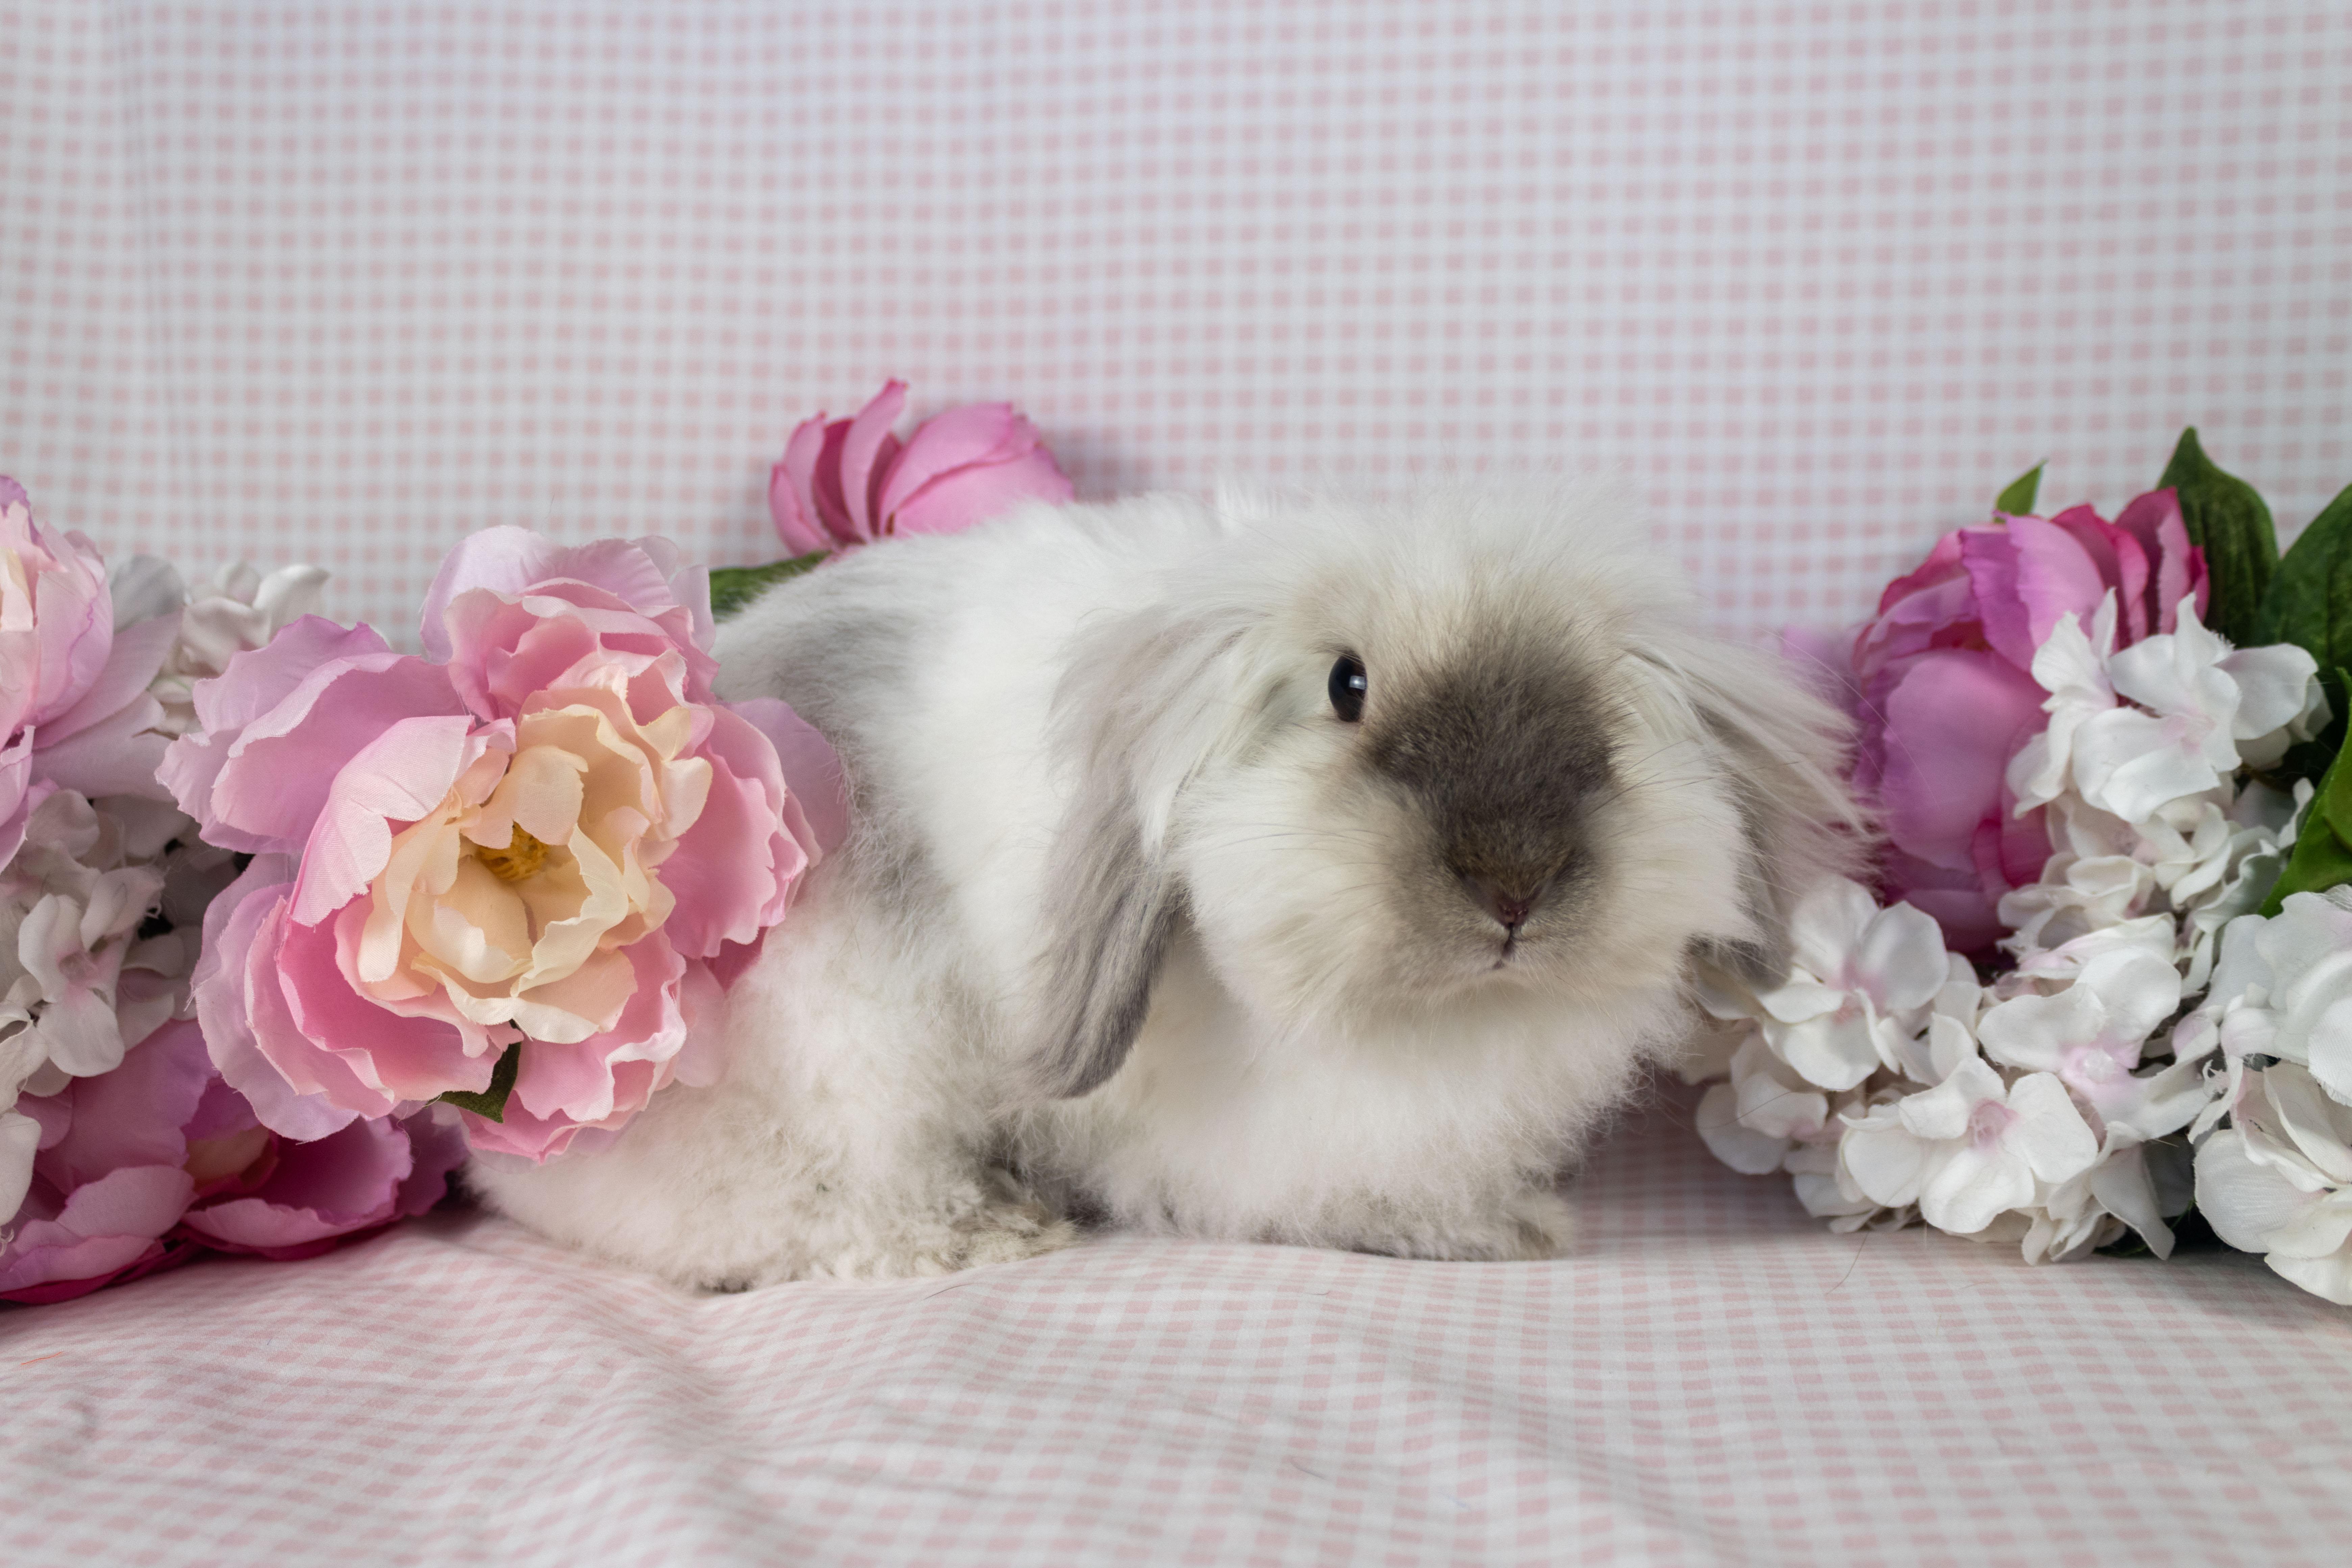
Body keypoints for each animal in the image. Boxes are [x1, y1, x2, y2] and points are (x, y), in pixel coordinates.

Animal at [468, 485, 1862, 1288]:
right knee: (794, 1208)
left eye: (1602, 711)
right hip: (848, 1049)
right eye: (1347, 686)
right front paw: (1489, 1230)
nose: (1513, 880)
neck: (1437, 1022)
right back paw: (978, 1232)